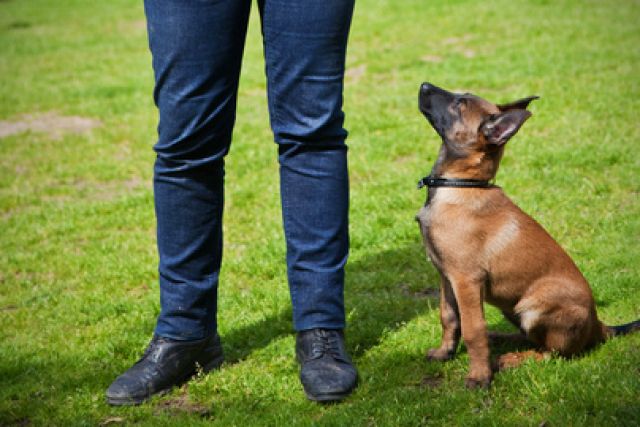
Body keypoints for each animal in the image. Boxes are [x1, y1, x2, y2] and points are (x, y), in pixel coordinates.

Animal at [416, 82, 640, 390]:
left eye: (459, 105)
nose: (424, 85)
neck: (461, 185)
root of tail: (598, 325)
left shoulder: (466, 281)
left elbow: (473, 330)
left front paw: (479, 376)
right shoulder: (446, 277)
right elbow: (449, 318)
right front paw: (444, 353)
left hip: (534, 307)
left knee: (553, 353)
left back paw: (513, 358)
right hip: (513, 308)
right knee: (530, 339)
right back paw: (503, 340)